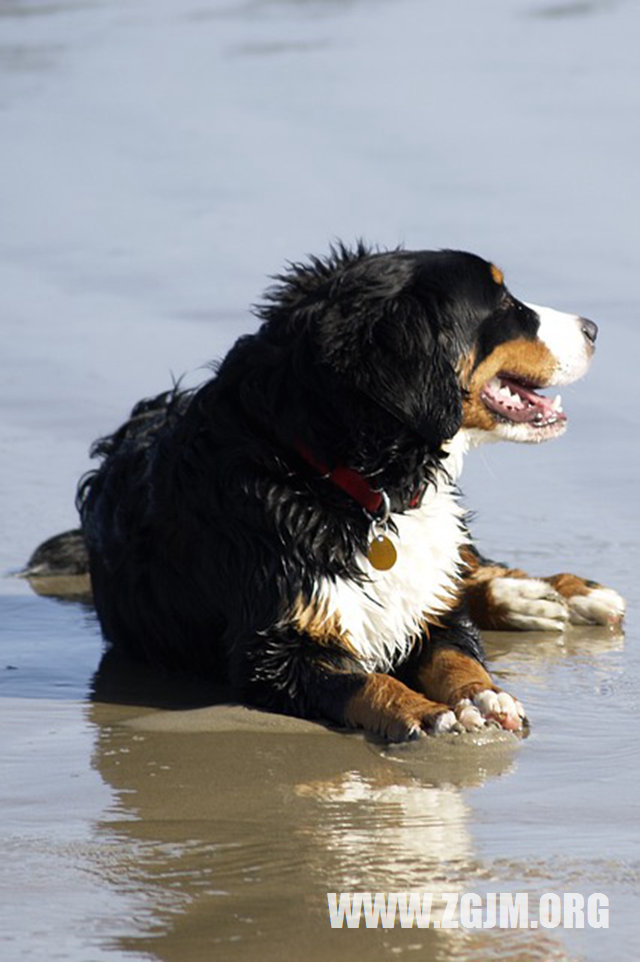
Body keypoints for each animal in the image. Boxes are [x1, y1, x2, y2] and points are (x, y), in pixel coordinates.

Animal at [25, 246, 624, 736]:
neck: (351, 483)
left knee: (469, 568)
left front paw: (487, 696)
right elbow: (362, 680)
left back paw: (555, 593)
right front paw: (424, 711)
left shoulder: (433, 610)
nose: (595, 327)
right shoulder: (272, 651)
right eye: (502, 304)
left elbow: (458, 652)